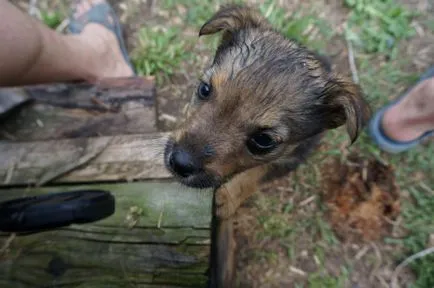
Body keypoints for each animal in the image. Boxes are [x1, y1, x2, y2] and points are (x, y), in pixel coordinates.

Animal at [163, 5, 370, 218]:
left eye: (263, 140)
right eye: (204, 89)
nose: (179, 162)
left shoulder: (291, 157)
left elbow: (254, 175)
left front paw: (227, 199)